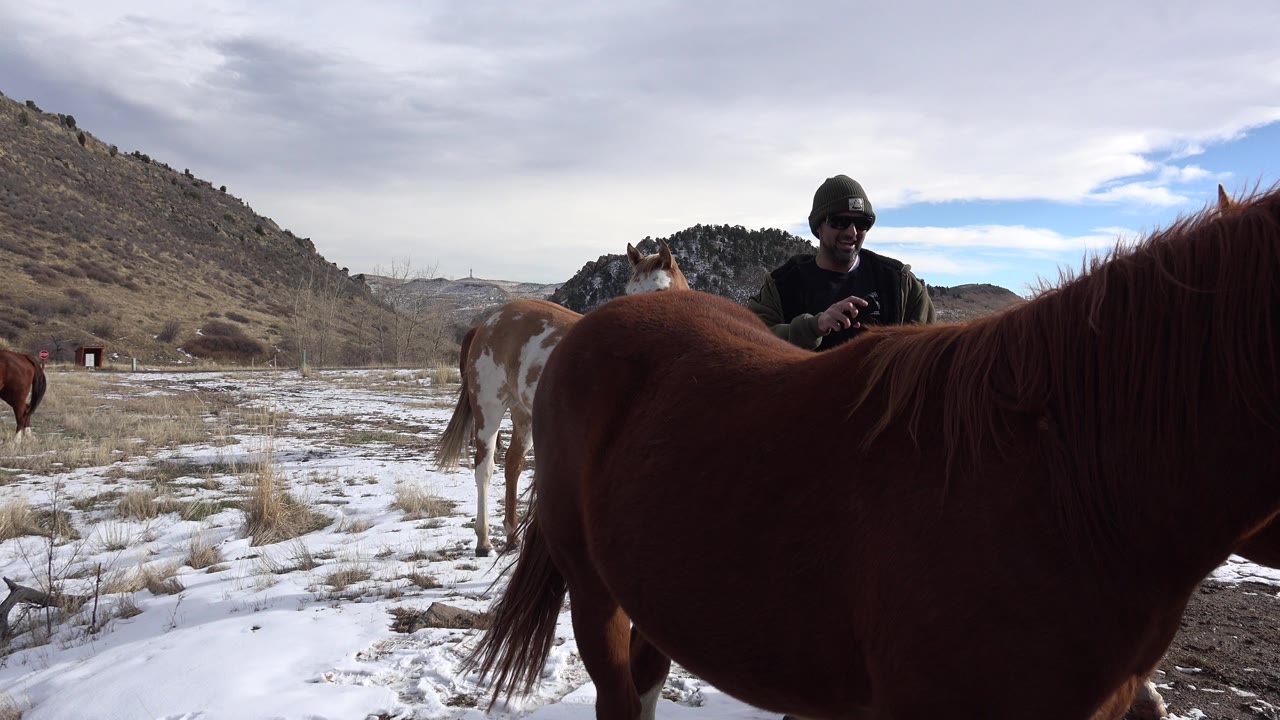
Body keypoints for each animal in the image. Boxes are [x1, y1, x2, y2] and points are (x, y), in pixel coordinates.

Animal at [436, 239, 688, 556]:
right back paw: (484, 540)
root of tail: (487, 323)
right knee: (485, 467)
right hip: (489, 409)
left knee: (512, 465)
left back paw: (512, 536)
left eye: (659, 292)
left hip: (524, 415)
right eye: (629, 293)